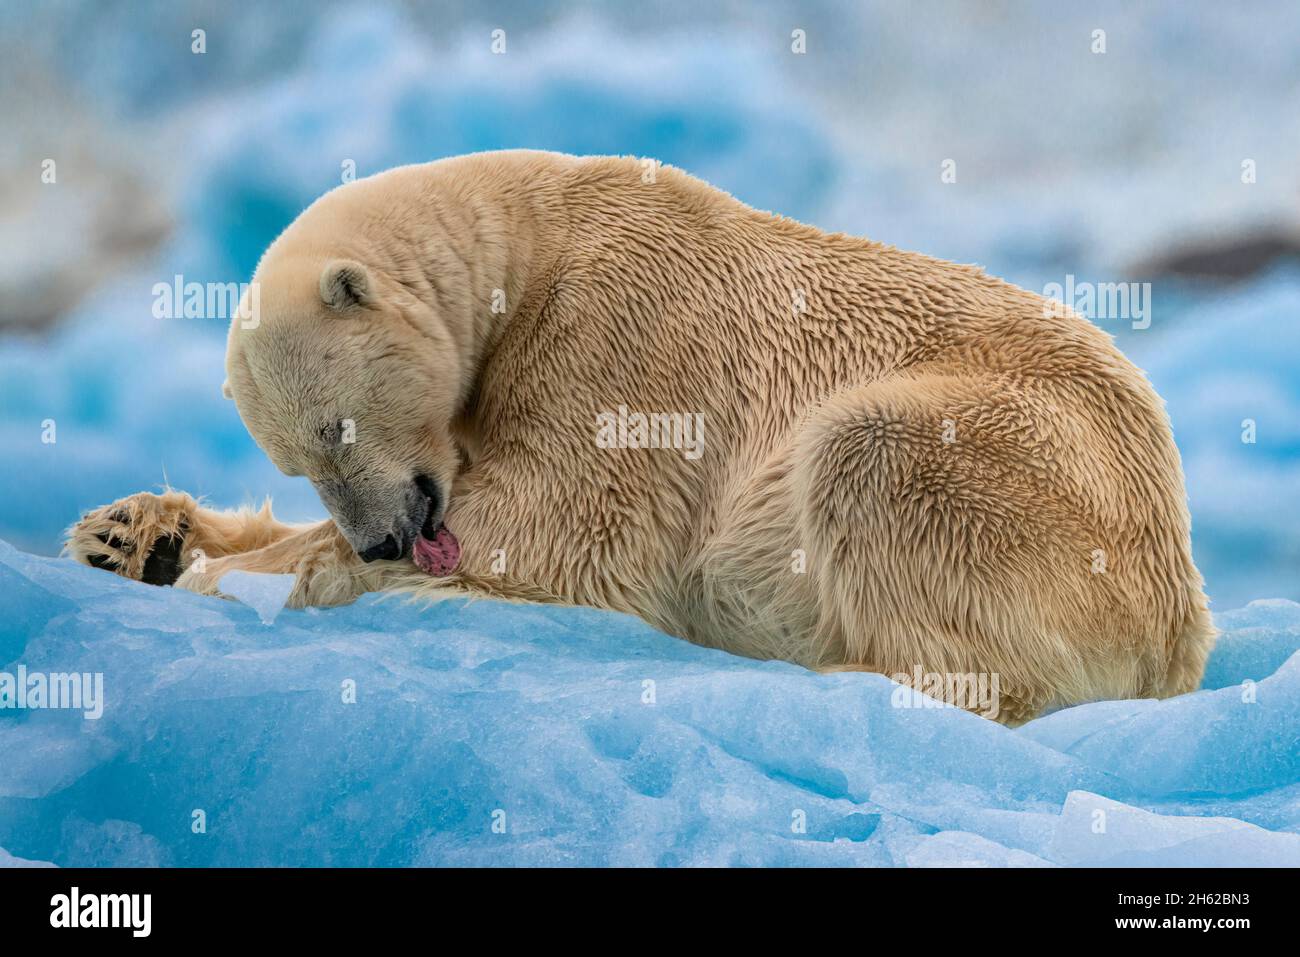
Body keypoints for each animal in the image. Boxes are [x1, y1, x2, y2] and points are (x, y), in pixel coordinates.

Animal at [65, 149, 1211, 722]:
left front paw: (246, 573)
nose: (387, 536)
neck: (529, 241)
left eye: (335, 426)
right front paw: (132, 536)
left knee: (880, 460)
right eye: (296, 459)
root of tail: (1180, 625)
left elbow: (562, 525)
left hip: (1040, 484)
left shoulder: (623, 337)